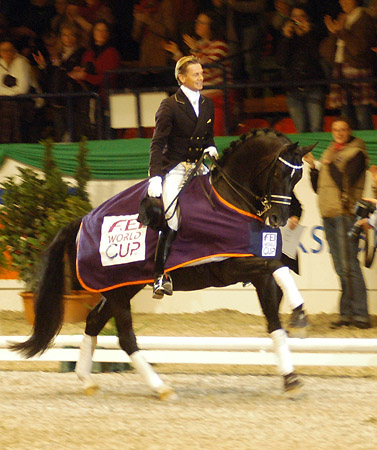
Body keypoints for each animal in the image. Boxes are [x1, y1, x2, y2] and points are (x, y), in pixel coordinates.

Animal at [11, 131, 312, 400]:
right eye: (279, 174)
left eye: (298, 178)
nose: (279, 218)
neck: (230, 200)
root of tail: (81, 221)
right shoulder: (228, 267)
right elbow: (278, 266)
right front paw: (300, 314)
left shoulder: (259, 273)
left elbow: (274, 319)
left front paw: (291, 377)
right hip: (119, 291)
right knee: (125, 338)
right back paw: (160, 388)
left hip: (123, 286)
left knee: (94, 321)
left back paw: (87, 380)